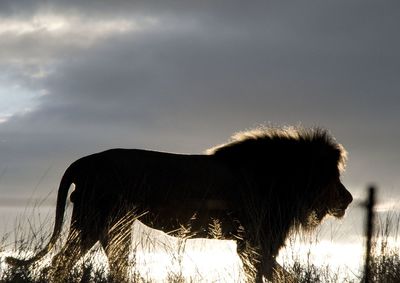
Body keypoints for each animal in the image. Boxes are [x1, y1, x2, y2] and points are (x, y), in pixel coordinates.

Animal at [5, 127, 350, 282]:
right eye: (333, 177)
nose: (348, 198)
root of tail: (84, 162)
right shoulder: (256, 242)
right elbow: (279, 275)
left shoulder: (251, 245)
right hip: (92, 221)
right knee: (60, 263)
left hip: (115, 228)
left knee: (114, 265)